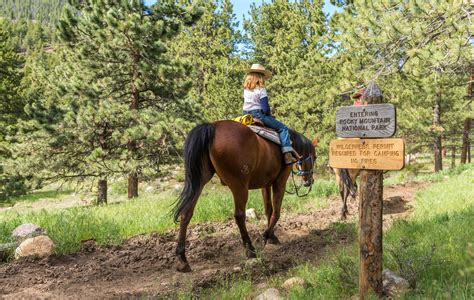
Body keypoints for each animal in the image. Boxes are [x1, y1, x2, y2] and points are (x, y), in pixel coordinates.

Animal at [172, 119, 316, 272]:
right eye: (314, 157)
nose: (309, 181)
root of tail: (212, 126)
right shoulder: (280, 182)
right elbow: (276, 213)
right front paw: (264, 237)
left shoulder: (266, 184)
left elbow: (268, 210)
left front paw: (272, 237)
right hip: (239, 185)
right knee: (239, 215)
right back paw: (250, 249)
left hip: (199, 181)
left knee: (186, 214)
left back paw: (182, 259)